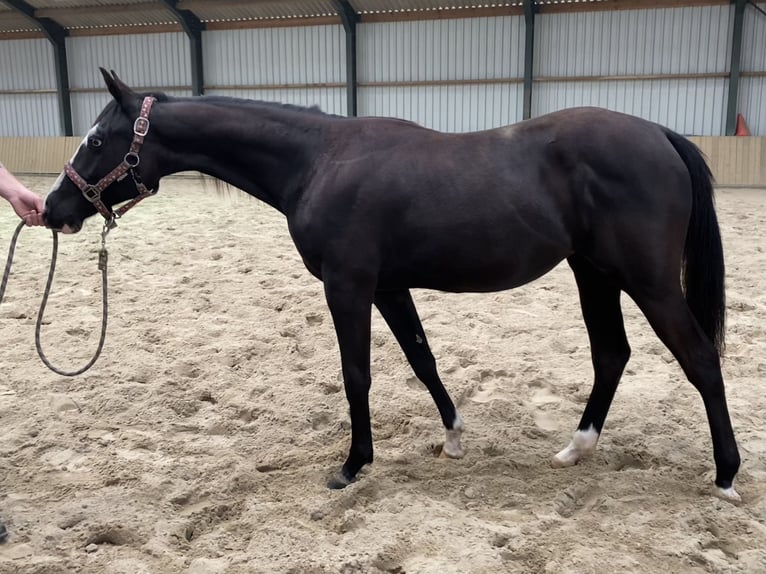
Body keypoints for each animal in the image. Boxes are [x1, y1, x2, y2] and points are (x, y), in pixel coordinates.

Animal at [44, 69, 741, 501]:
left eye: (97, 139)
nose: (53, 208)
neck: (318, 161)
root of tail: (661, 136)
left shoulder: (348, 286)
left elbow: (358, 374)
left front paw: (353, 465)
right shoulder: (388, 287)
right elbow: (421, 359)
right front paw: (453, 439)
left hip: (647, 281)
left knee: (700, 359)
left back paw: (727, 475)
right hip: (593, 273)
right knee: (611, 354)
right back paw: (576, 449)